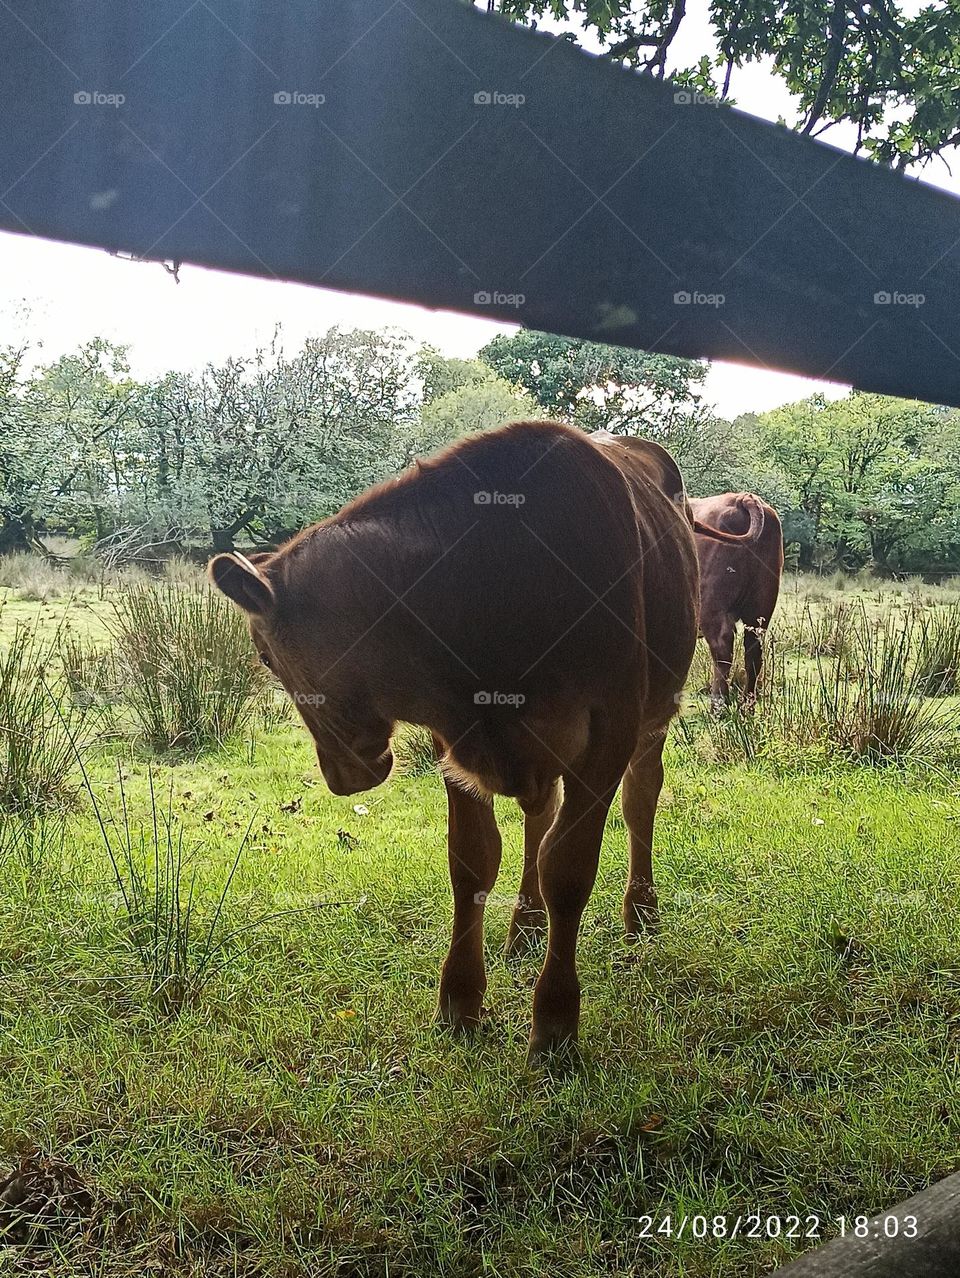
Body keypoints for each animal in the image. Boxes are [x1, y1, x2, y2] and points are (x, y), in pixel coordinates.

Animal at [210, 421, 751, 1063]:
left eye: (266, 657)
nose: (343, 777)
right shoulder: (457, 745)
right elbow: (472, 862)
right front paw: (460, 1000)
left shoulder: (608, 734)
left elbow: (570, 869)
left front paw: (555, 1022)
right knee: (540, 817)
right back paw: (527, 924)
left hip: (656, 713)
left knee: (640, 799)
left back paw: (640, 913)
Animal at [689, 493, 784, 707]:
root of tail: (742, 497)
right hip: (760, 608)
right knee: (754, 655)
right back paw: (747, 706)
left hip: (712, 606)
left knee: (722, 651)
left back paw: (718, 703)